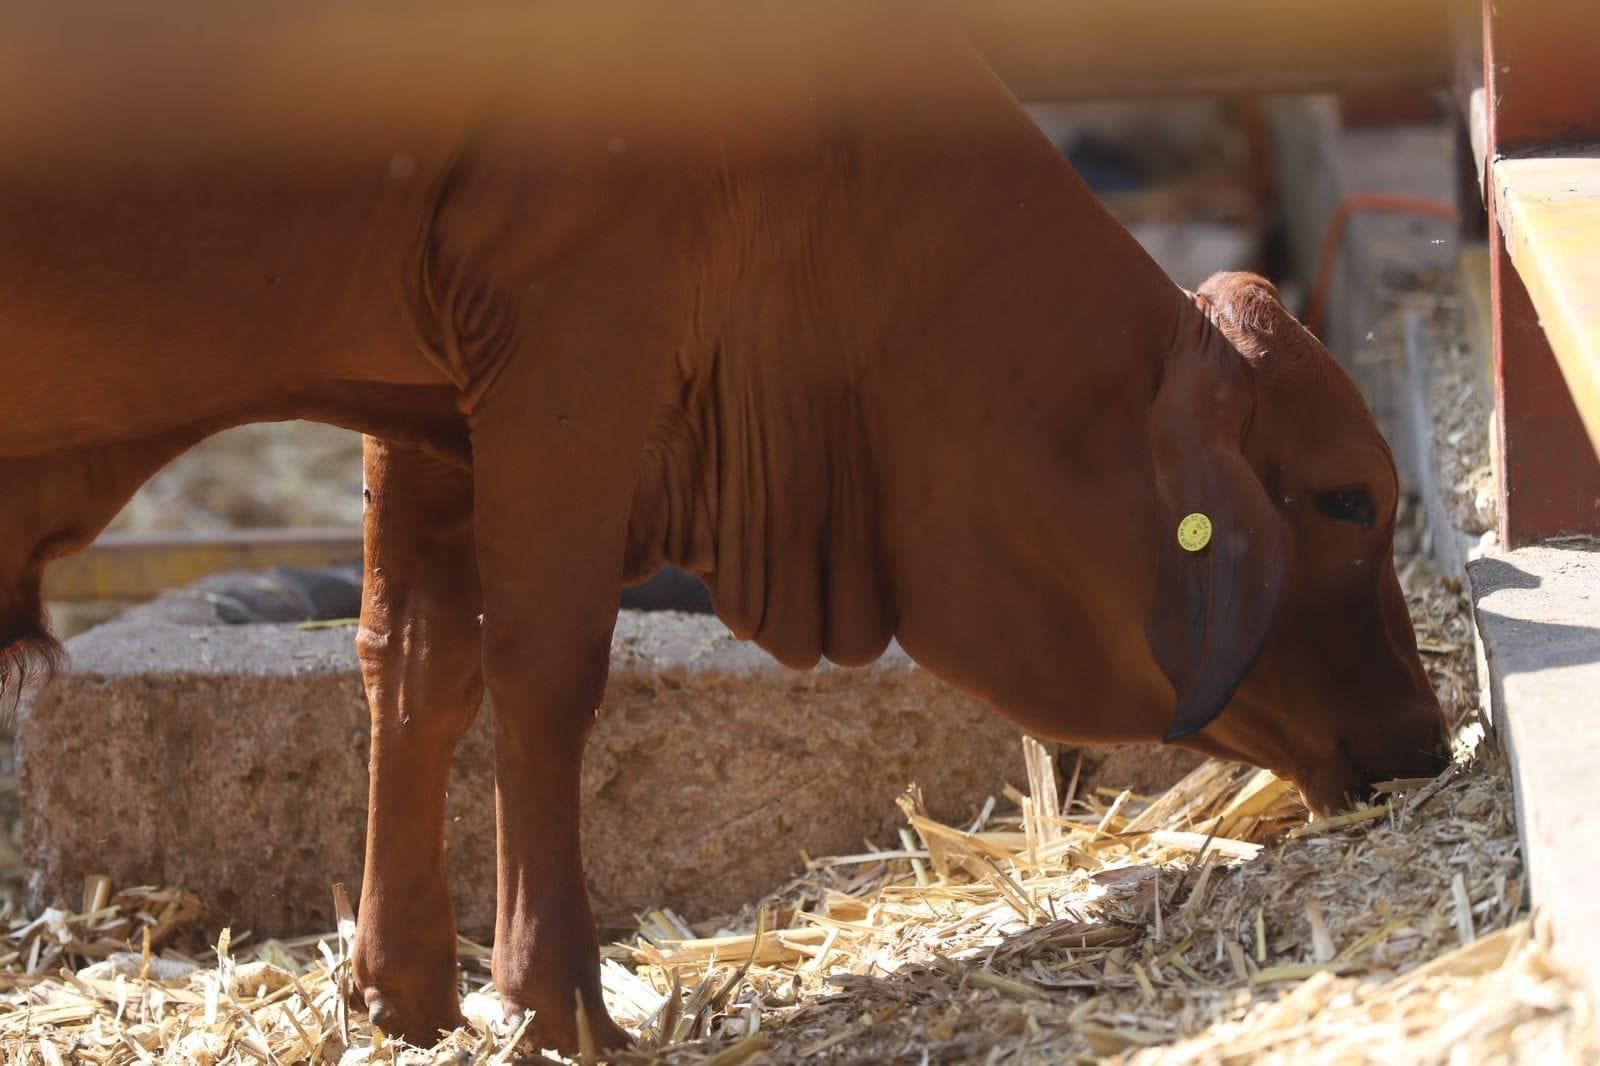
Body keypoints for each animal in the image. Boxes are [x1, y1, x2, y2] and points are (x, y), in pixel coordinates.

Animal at [3, 0, 1452, 1043]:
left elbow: (411, 668)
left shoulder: (426, 402)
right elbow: (542, 671)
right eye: (1347, 497)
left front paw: (403, 993)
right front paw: (558, 1001)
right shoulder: (571, 348)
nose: (1431, 742)